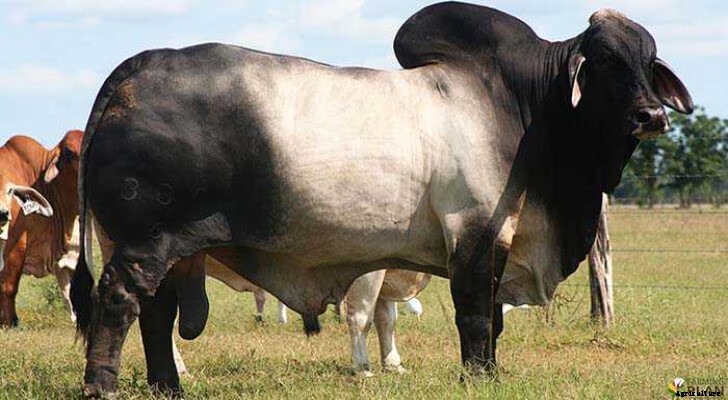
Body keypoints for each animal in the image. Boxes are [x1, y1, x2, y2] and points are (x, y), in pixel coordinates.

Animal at [71, 3, 693, 396]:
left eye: (648, 60)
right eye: (606, 62)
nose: (651, 116)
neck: (528, 109)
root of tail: (135, 69)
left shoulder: (497, 242)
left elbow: (494, 320)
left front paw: (491, 375)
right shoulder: (474, 238)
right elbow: (476, 318)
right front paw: (477, 378)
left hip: (166, 250)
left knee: (157, 312)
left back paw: (168, 387)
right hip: (144, 242)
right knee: (119, 302)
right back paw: (102, 386)